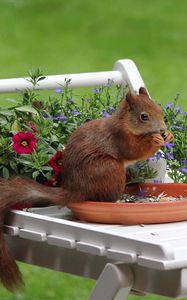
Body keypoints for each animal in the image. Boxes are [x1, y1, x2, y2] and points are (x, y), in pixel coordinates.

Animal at [0, 86, 173, 290]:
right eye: (143, 116)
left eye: (160, 110)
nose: (162, 130)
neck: (125, 124)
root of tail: (74, 190)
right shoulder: (120, 138)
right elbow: (134, 150)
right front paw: (155, 140)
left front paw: (169, 135)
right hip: (109, 168)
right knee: (106, 198)